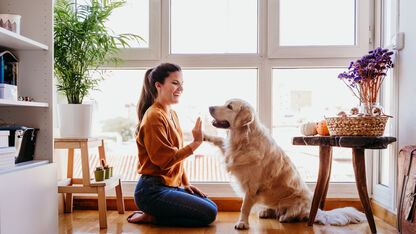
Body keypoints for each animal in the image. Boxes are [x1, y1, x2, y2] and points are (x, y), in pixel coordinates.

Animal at [203, 98, 366, 229]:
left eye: (229, 107)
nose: (209, 107)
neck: (243, 139)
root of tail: (316, 211)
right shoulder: (230, 152)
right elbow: (218, 140)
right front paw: (203, 135)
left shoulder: (252, 185)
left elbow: (244, 207)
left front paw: (242, 223)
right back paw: (266, 211)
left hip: (298, 202)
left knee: (294, 214)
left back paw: (285, 217)